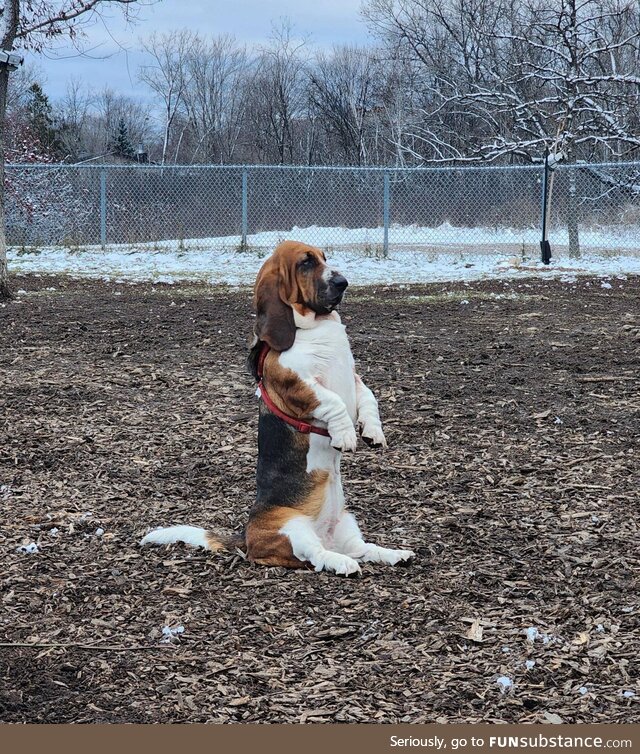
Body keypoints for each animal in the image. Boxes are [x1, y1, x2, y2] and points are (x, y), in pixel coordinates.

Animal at [141, 241, 416, 576]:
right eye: (305, 263)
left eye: (324, 258)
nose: (343, 282)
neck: (316, 325)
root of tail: (246, 535)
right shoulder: (300, 384)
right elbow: (334, 402)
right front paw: (346, 435)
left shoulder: (354, 379)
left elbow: (369, 398)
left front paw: (373, 432)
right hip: (292, 528)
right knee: (317, 556)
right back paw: (342, 563)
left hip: (347, 521)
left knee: (360, 549)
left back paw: (393, 553)